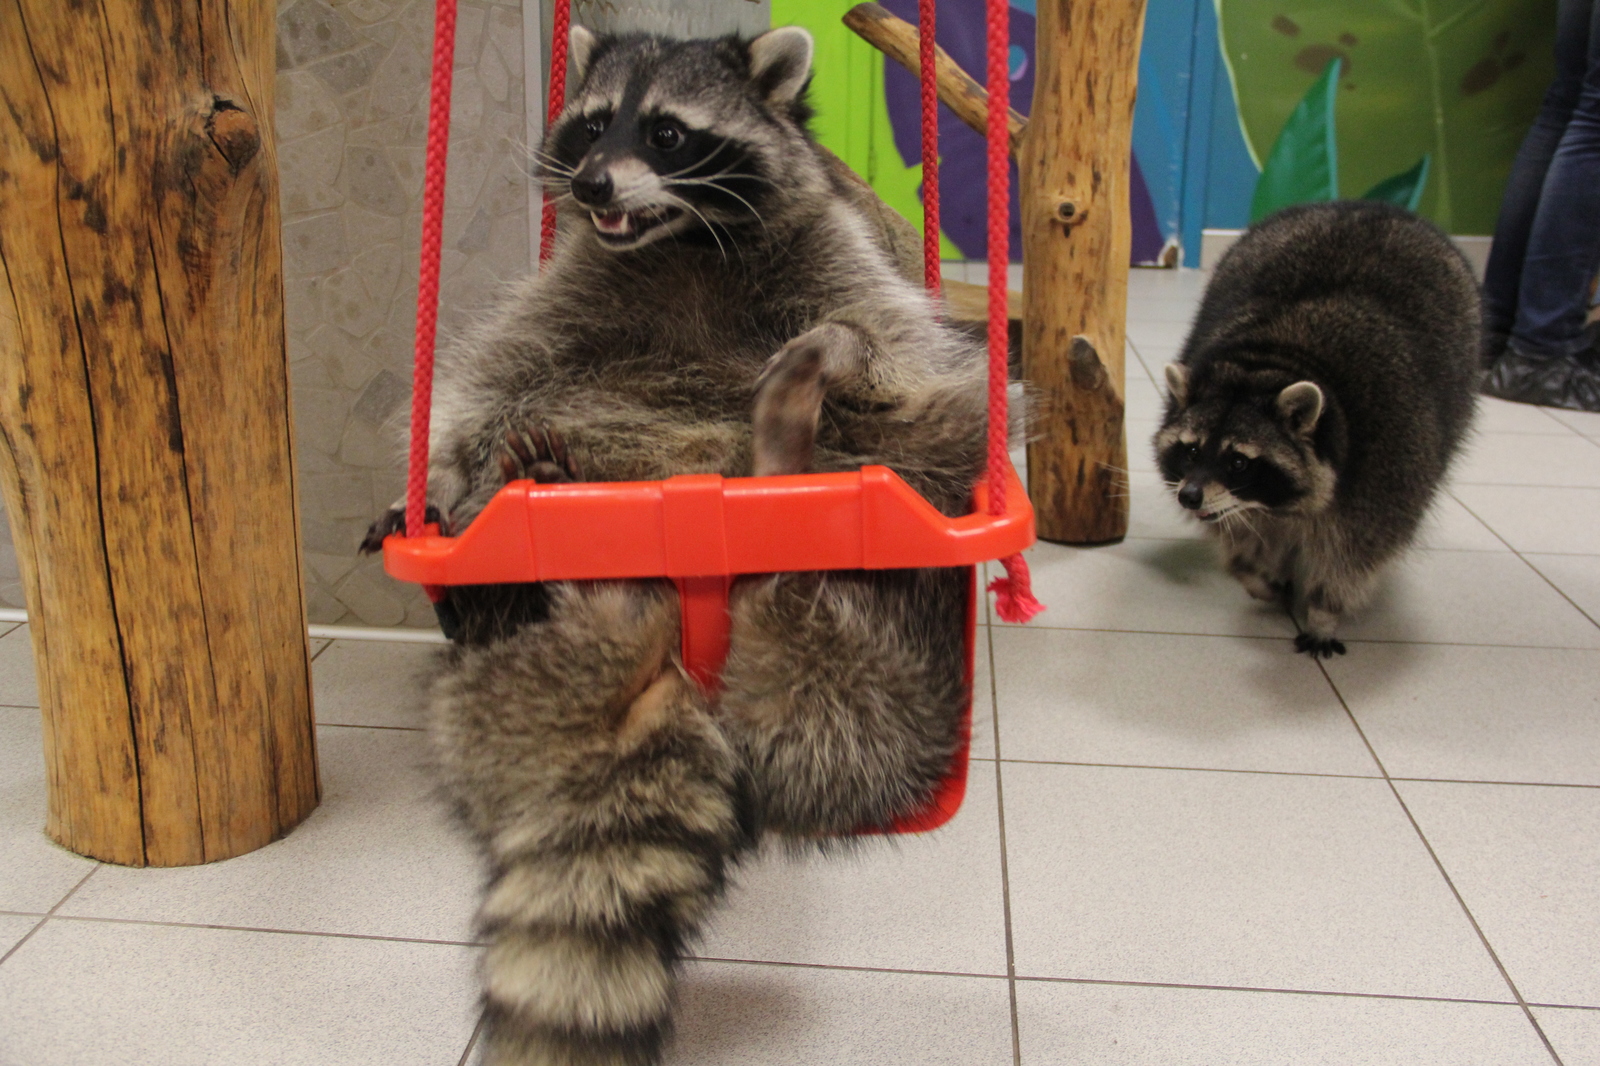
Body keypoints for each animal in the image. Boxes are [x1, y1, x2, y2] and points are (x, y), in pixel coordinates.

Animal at [363, 24, 992, 1062]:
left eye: (666, 131)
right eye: (589, 124)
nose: (591, 186)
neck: (682, 237)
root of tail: (675, 672)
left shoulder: (834, 255)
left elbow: (894, 348)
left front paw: (846, 356)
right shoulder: (572, 287)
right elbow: (482, 383)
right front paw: (440, 482)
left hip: (893, 652)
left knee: (931, 444)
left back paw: (783, 460)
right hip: (493, 706)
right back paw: (489, 575)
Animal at [1158, 196, 1478, 646]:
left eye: (1238, 461)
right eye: (1190, 451)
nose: (1189, 496)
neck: (1268, 362)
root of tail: (1370, 206)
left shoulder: (1388, 464)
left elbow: (1356, 553)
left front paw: (1325, 609)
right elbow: (1239, 534)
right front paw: (1253, 571)